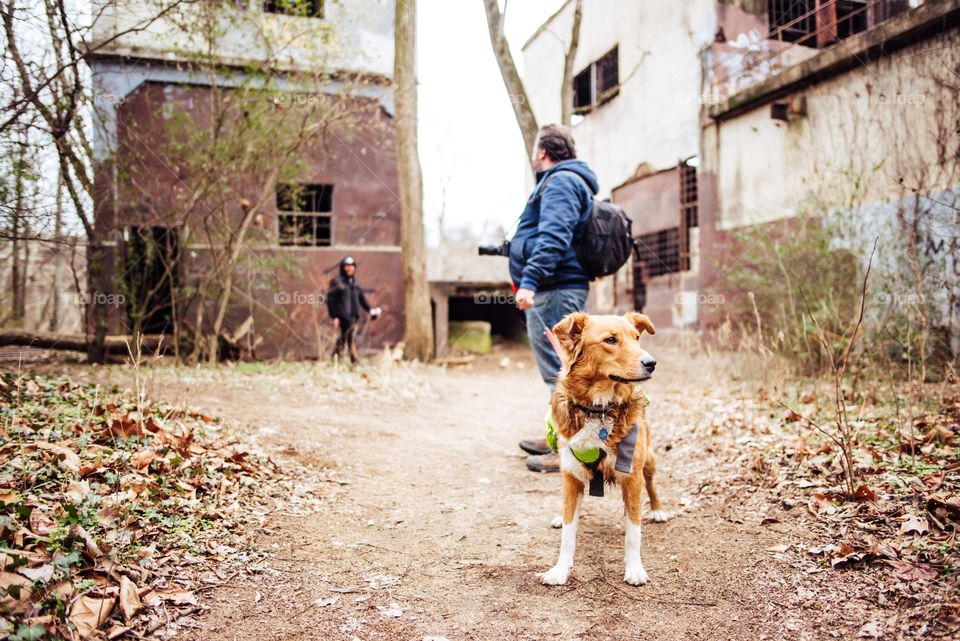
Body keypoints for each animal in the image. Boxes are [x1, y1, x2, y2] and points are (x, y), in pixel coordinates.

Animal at [540, 310, 668, 584]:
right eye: (610, 340)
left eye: (637, 337)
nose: (652, 363)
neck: (597, 409)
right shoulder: (571, 476)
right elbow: (568, 534)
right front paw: (560, 570)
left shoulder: (632, 476)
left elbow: (634, 533)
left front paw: (635, 569)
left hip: (649, 459)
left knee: (651, 484)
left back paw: (658, 510)